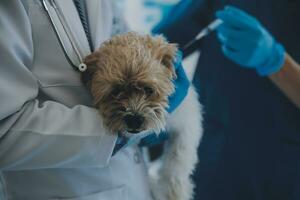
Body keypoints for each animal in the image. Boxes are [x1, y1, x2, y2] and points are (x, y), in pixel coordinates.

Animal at [82, 32, 204, 200]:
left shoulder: (187, 120)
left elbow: (178, 158)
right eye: (115, 91)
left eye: (148, 89)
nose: (134, 119)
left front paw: (173, 192)